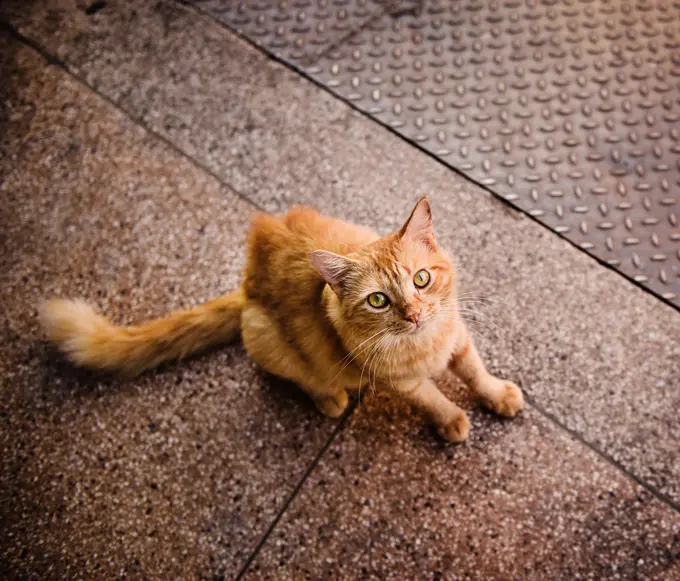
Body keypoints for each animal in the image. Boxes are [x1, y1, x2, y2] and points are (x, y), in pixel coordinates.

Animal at [41, 197, 520, 442]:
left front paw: (497, 394)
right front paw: (451, 419)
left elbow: (476, 373)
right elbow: (433, 399)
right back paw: (329, 397)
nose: (416, 314)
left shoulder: (459, 337)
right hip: (264, 338)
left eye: (422, 279)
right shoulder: (400, 382)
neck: (426, 344)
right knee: (302, 377)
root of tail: (247, 284)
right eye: (379, 301)